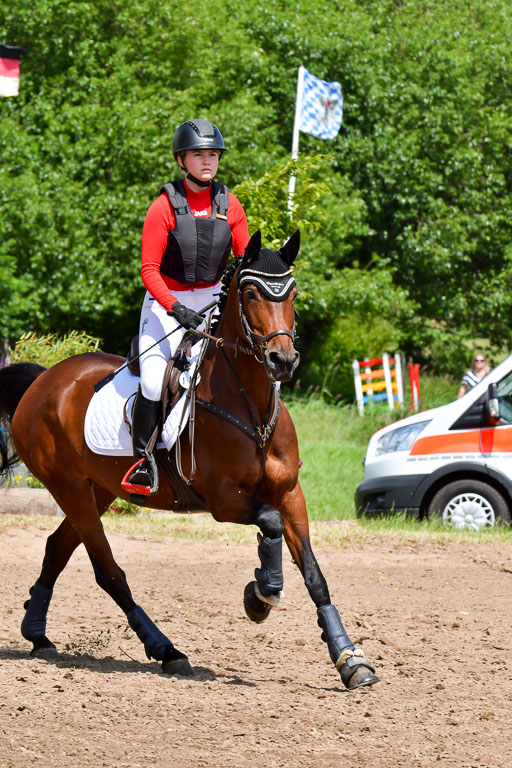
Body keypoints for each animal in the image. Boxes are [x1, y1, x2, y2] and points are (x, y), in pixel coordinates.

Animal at [0, 230, 379, 690]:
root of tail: (43, 381)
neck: (250, 406)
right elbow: (269, 523)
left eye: (292, 292)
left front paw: (350, 658)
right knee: (109, 572)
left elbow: (313, 574)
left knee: (57, 547)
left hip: (97, 490)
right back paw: (167, 651)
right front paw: (261, 594)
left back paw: (37, 636)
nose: (283, 360)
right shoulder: (222, 499)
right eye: (250, 293)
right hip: (68, 487)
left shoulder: (291, 494)